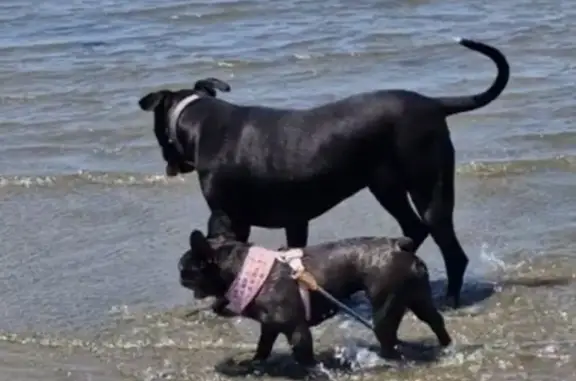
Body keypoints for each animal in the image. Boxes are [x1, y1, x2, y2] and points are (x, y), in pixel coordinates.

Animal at [140, 38, 508, 306]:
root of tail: (433, 103)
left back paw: (450, 298)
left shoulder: (225, 217)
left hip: (427, 188)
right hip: (386, 186)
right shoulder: (292, 220)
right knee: (414, 230)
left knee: (450, 248)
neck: (201, 122)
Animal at [178, 230, 452, 372]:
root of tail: (399, 245)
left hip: (384, 308)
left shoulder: (296, 329)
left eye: (185, 269)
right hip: (418, 297)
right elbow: (263, 346)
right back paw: (446, 346)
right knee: (435, 321)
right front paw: (252, 364)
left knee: (389, 339)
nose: (179, 274)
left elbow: (304, 357)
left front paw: (311, 372)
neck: (244, 270)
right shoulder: (270, 326)